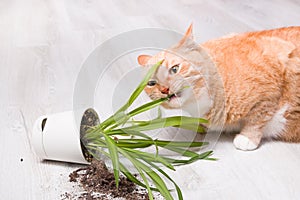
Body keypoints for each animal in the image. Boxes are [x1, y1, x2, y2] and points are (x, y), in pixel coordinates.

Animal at [138, 24, 300, 150]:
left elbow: (258, 116)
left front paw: (247, 138)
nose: (164, 90)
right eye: (152, 83)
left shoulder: (270, 86)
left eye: (175, 69)